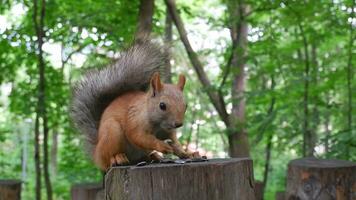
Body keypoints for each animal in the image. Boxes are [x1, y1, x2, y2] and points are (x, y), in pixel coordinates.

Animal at [71, 40, 199, 170]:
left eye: (186, 105)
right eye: (162, 105)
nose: (178, 124)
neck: (158, 124)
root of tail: (96, 151)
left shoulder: (168, 132)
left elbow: (176, 144)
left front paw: (187, 153)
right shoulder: (135, 120)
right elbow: (139, 137)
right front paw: (162, 146)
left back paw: (153, 157)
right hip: (112, 132)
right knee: (108, 159)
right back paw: (118, 158)